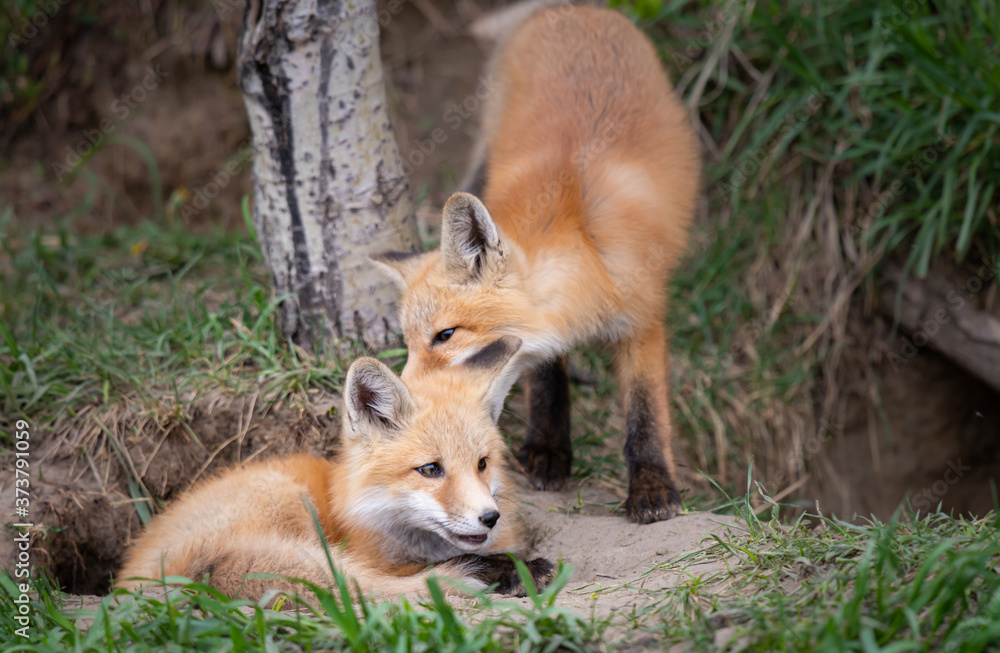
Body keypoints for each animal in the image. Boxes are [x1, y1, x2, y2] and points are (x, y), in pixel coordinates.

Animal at [116, 343, 555, 601]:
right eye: (431, 469)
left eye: (482, 464)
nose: (490, 517)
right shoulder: (374, 559)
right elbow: (415, 572)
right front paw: (508, 569)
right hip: (287, 501)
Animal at [373, 6, 700, 523]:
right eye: (406, 342)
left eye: (445, 336)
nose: (407, 404)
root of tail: (572, 9)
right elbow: (546, 378)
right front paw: (549, 449)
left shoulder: (643, 316)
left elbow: (645, 411)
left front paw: (652, 486)